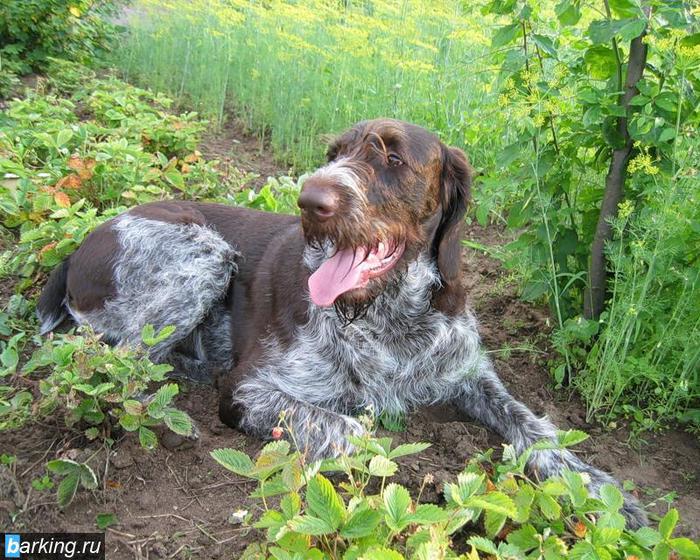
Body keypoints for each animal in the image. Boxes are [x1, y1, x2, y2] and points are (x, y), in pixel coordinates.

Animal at [35, 119, 644, 528]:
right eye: (334, 153)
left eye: (393, 157)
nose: (310, 199)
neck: (390, 316)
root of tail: (76, 248)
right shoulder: (250, 388)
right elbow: (356, 429)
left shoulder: (470, 374)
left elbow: (532, 425)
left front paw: (595, 485)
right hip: (202, 251)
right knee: (120, 366)